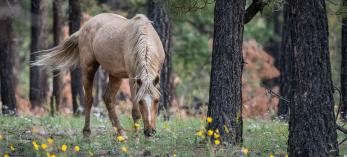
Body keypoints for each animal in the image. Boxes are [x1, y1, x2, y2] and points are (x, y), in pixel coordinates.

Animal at [33, 13, 167, 139]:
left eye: (157, 100)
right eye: (140, 102)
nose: (149, 132)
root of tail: (83, 28)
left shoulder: (156, 76)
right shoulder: (132, 78)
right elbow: (135, 111)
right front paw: (137, 137)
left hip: (115, 75)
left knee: (108, 99)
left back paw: (120, 133)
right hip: (88, 68)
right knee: (89, 100)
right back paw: (87, 132)